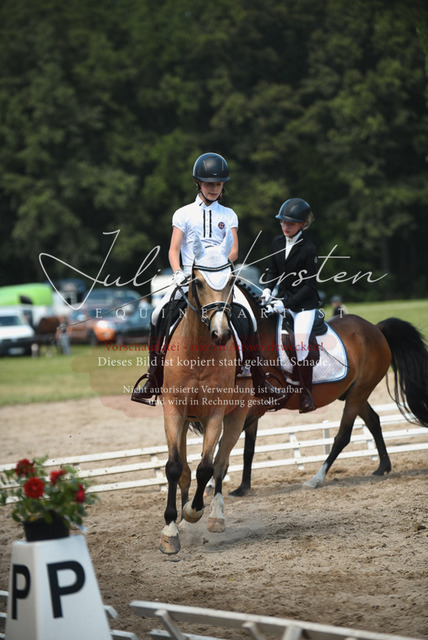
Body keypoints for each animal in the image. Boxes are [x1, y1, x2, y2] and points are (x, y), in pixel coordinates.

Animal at [159, 232, 252, 554]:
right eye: (197, 282)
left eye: (232, 280)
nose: (221, 334)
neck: (198, 351)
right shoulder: (174, 411)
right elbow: (176, 468)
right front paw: (171, 530)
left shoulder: (215, 414)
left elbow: (206, 468)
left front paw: (193, 512)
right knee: (187, 471)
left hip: (236, 417)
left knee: (220, 466)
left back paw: (215, 517)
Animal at [229, 282, 428, 496]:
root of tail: (375, 328)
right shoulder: (251, 404)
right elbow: (247, 447)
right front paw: (242, 488)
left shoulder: (263, 403)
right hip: (355, 392)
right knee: (373, 421)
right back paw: (383, 467)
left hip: (359, 392)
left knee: (343, 436)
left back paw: (316, 479)